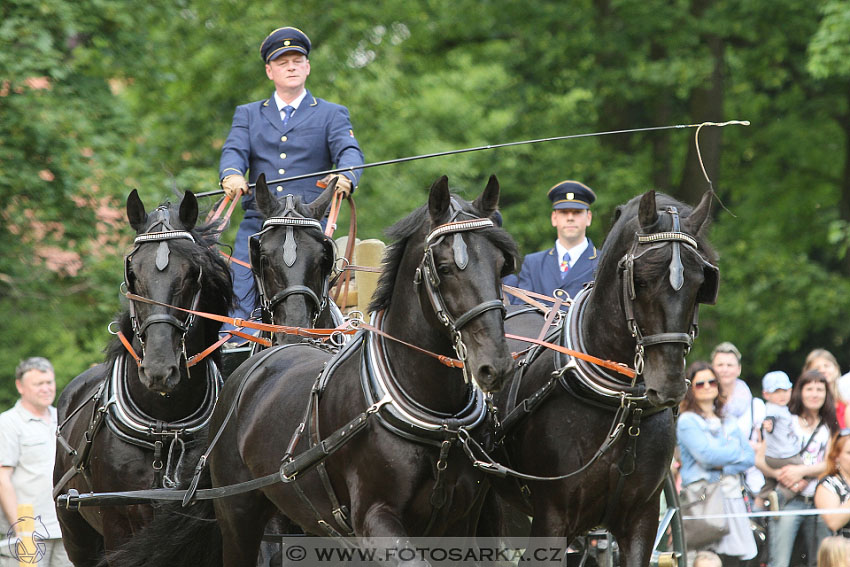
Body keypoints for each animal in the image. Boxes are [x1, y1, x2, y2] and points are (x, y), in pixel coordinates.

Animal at [53, 192, 232, 567]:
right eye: (132, 273)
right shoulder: (118, 520)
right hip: (75, 531)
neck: (165, 425)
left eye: (193, 273)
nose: (160, 369)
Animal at [484, 191, 716, 567]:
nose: (668, 383)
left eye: (700, 284)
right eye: (641, 280)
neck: (618, 405)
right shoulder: (551, 518)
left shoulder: (642, 519)